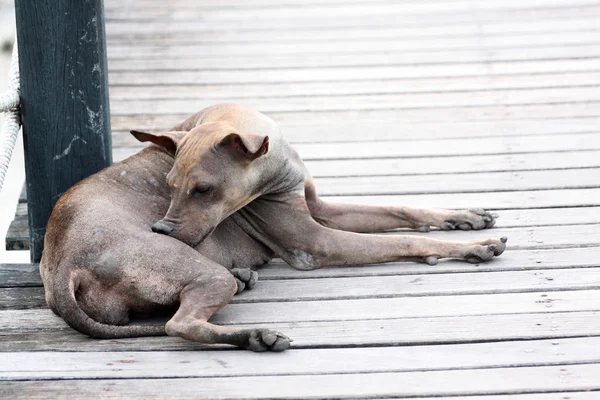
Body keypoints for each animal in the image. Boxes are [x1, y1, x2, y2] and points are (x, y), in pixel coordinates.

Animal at [39, 104, 504, 352]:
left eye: (203, 189)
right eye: (168, 185)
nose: (161, 230)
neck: (276, 163)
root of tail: (63, 268)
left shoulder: (321, 210)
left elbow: (401, 211)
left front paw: (464, 218)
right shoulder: (316, 242)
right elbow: (406, 238)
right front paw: (474, 246)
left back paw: (245, 284)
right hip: (203, 273)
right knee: (179, 324)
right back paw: (255, 336)